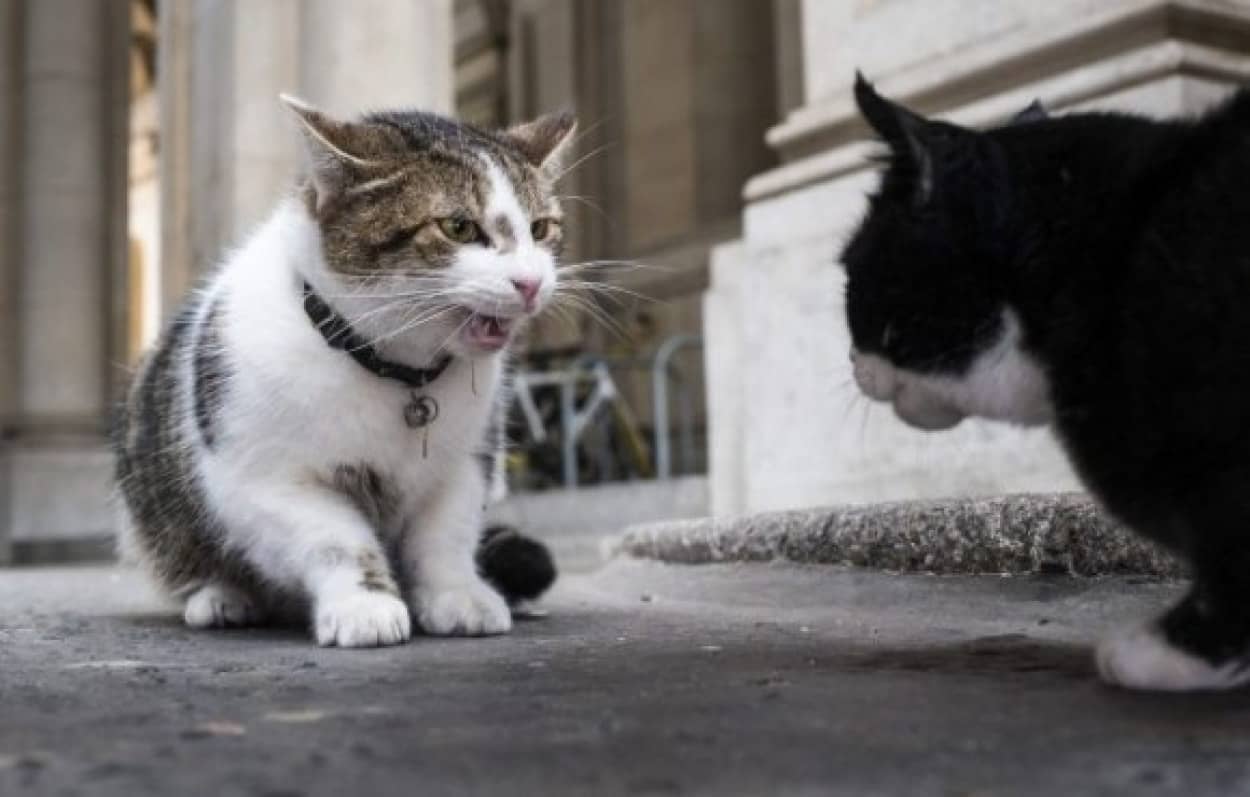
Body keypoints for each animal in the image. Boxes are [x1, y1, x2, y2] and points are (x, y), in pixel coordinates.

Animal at [115, 98, 570, 649]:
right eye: (458, 227)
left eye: (541, 229)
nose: (530, 283)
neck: (396, 372)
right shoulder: (261, 477)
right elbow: (336, 540)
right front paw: (365, 606)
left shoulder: (467, 460)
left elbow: (446, 535)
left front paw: (458, 595)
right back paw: (221, 596)